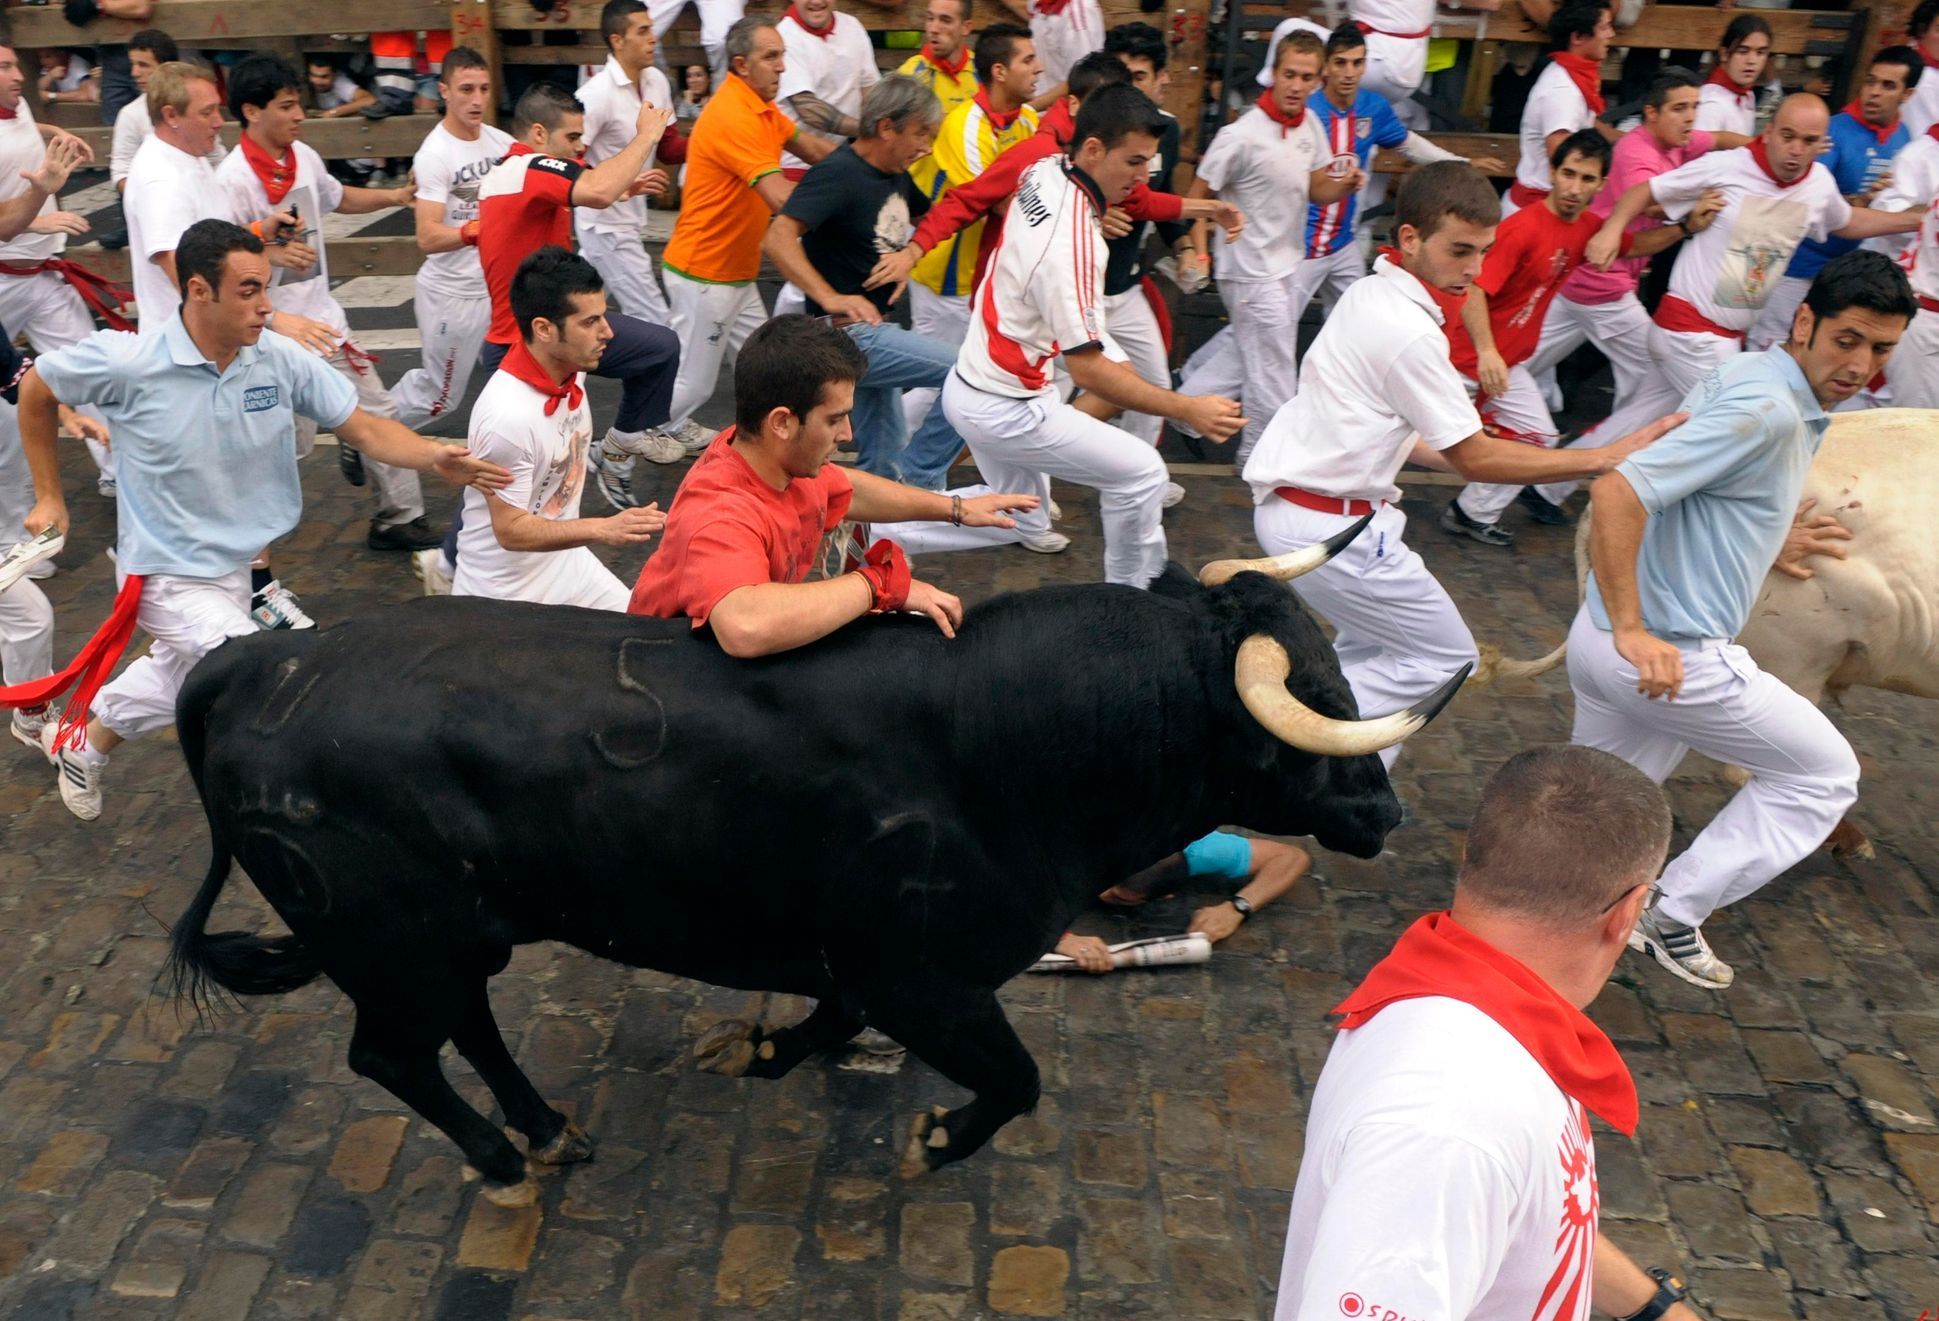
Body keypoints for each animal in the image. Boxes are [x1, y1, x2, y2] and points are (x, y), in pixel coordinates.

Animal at [170, 554, 1458, 1194]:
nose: (1383, 808)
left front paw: (756, 1048)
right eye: (1307, 699)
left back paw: (543, 1131)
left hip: (458, 931)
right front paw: (931, 1138)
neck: (998, 740)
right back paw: (501, 1161)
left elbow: (829, 1024)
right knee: (393, 1054)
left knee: (470, 1028)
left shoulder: (864, 965)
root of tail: (255, 665)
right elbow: (1015, 1079)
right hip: (390, 942)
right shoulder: (927, 979)